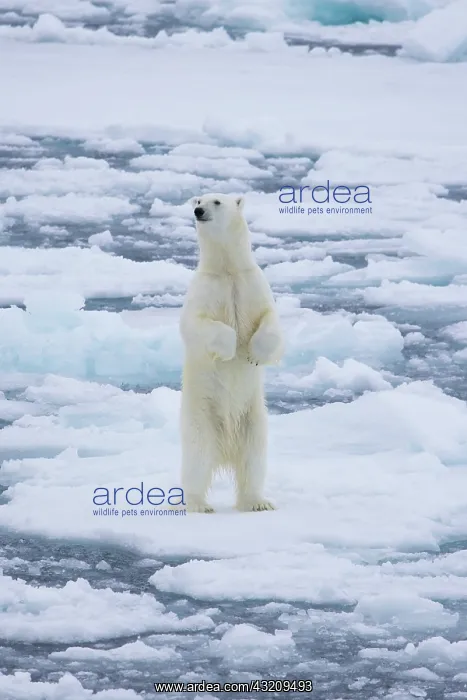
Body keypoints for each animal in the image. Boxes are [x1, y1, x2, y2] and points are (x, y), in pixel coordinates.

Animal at [179, 193, 284, 513]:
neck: (227, 270)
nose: (199, 211)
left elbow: (271, 320)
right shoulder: (204, 289)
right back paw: (198, 504)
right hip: (200, 419)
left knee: (254, 460)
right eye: (198, 200)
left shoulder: (252, 284)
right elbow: (196, 325)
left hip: (254, 420)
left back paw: (257, 502)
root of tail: (225, 452)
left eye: (216, 201)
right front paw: (229, 348)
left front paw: (254, 354)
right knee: (197, 460)